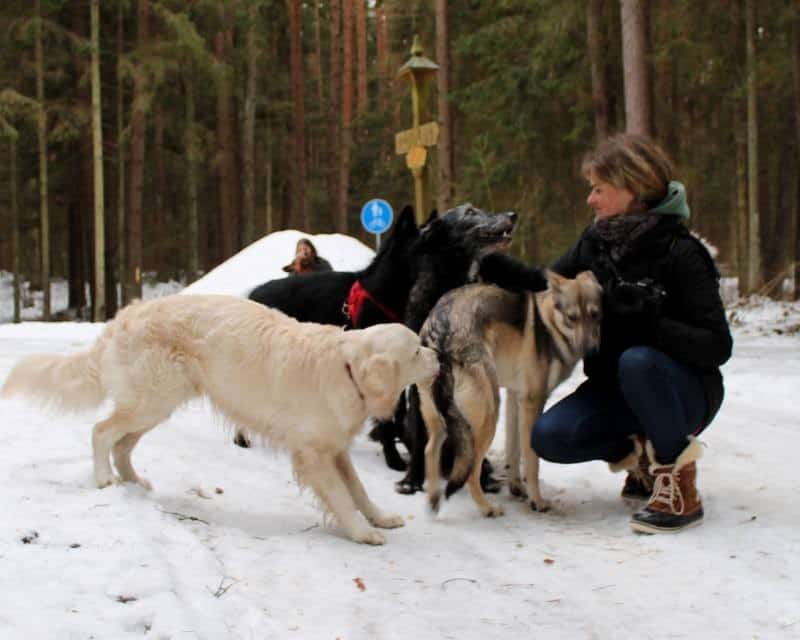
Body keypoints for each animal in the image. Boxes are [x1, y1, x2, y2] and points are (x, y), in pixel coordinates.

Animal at [1, 295, 439, 545]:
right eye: (417, 351)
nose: (439, 355)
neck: (346, 367)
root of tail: (122, 318)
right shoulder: (314, 454)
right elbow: (342, 498)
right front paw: (362, 532)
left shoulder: (335, 450)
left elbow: (359, 491)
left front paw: (381, 518)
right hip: (150, 400)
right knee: (101, 432)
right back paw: (105, 479)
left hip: (155, 404)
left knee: (122, 444)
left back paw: (132, 482)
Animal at [417, 270, 603, 517]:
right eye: (572, 318)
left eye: (595, 315)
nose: (591, 351)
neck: (550, 327)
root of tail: (442, 332)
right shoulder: (533, 403)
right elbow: (531, 462)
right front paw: (537, 501)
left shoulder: (515, 398)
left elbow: (513, 452)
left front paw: (517, 488)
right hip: (488, 415)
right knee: (471, 471)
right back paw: (488, 509)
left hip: (443, 420)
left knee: (430, 451)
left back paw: (433, 499)